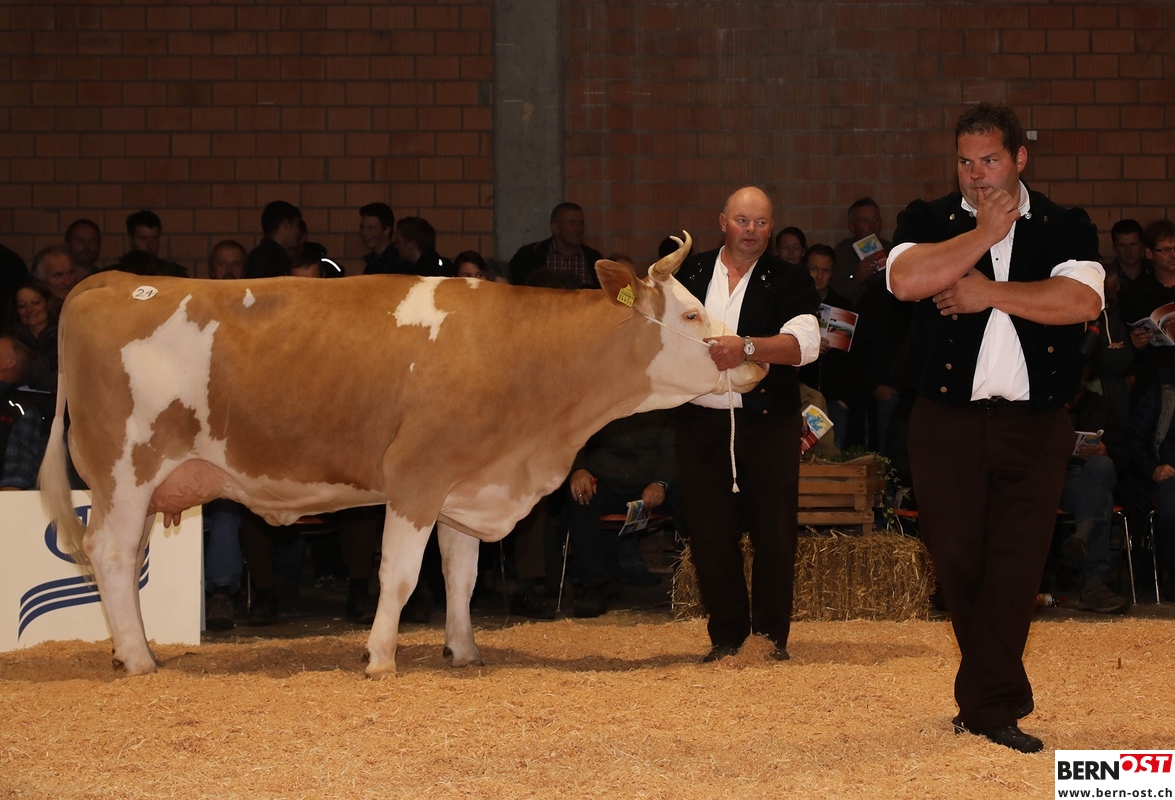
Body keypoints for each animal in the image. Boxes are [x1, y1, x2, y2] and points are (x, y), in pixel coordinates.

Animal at [38, 233, 765, 678]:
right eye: (692, 315)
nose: (753, 358)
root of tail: (112, 281)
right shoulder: (416, 477)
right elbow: (399, 575)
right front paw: (381, 657)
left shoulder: (464, 485)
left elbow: (462, 577)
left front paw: (463, 650)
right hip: (125, 471)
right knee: (112, 556)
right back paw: (138, 660)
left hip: (135, 483)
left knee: (121, 557)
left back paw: (128, 650)